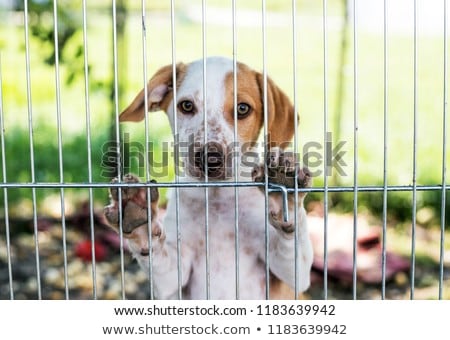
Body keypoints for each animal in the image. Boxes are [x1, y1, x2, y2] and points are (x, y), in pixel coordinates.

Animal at [104, 57, 312, 298]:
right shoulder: (173, 275)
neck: (216, 195)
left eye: (243, 109)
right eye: (186, 105)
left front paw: (284, 192)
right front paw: (138, 218)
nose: (209, 158)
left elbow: (293, 242)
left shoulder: (292, 277)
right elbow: (155, 251)